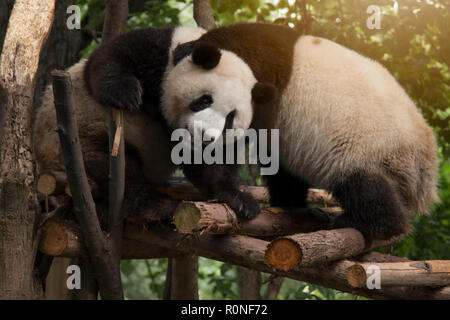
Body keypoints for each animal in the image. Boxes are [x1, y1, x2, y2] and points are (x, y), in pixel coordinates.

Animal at [159, 23, 440, 242]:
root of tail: (424, 161)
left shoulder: (259, 70)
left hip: (369, 146)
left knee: (364, 185)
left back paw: (366, 223)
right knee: (289, 171)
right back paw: (288, 204)